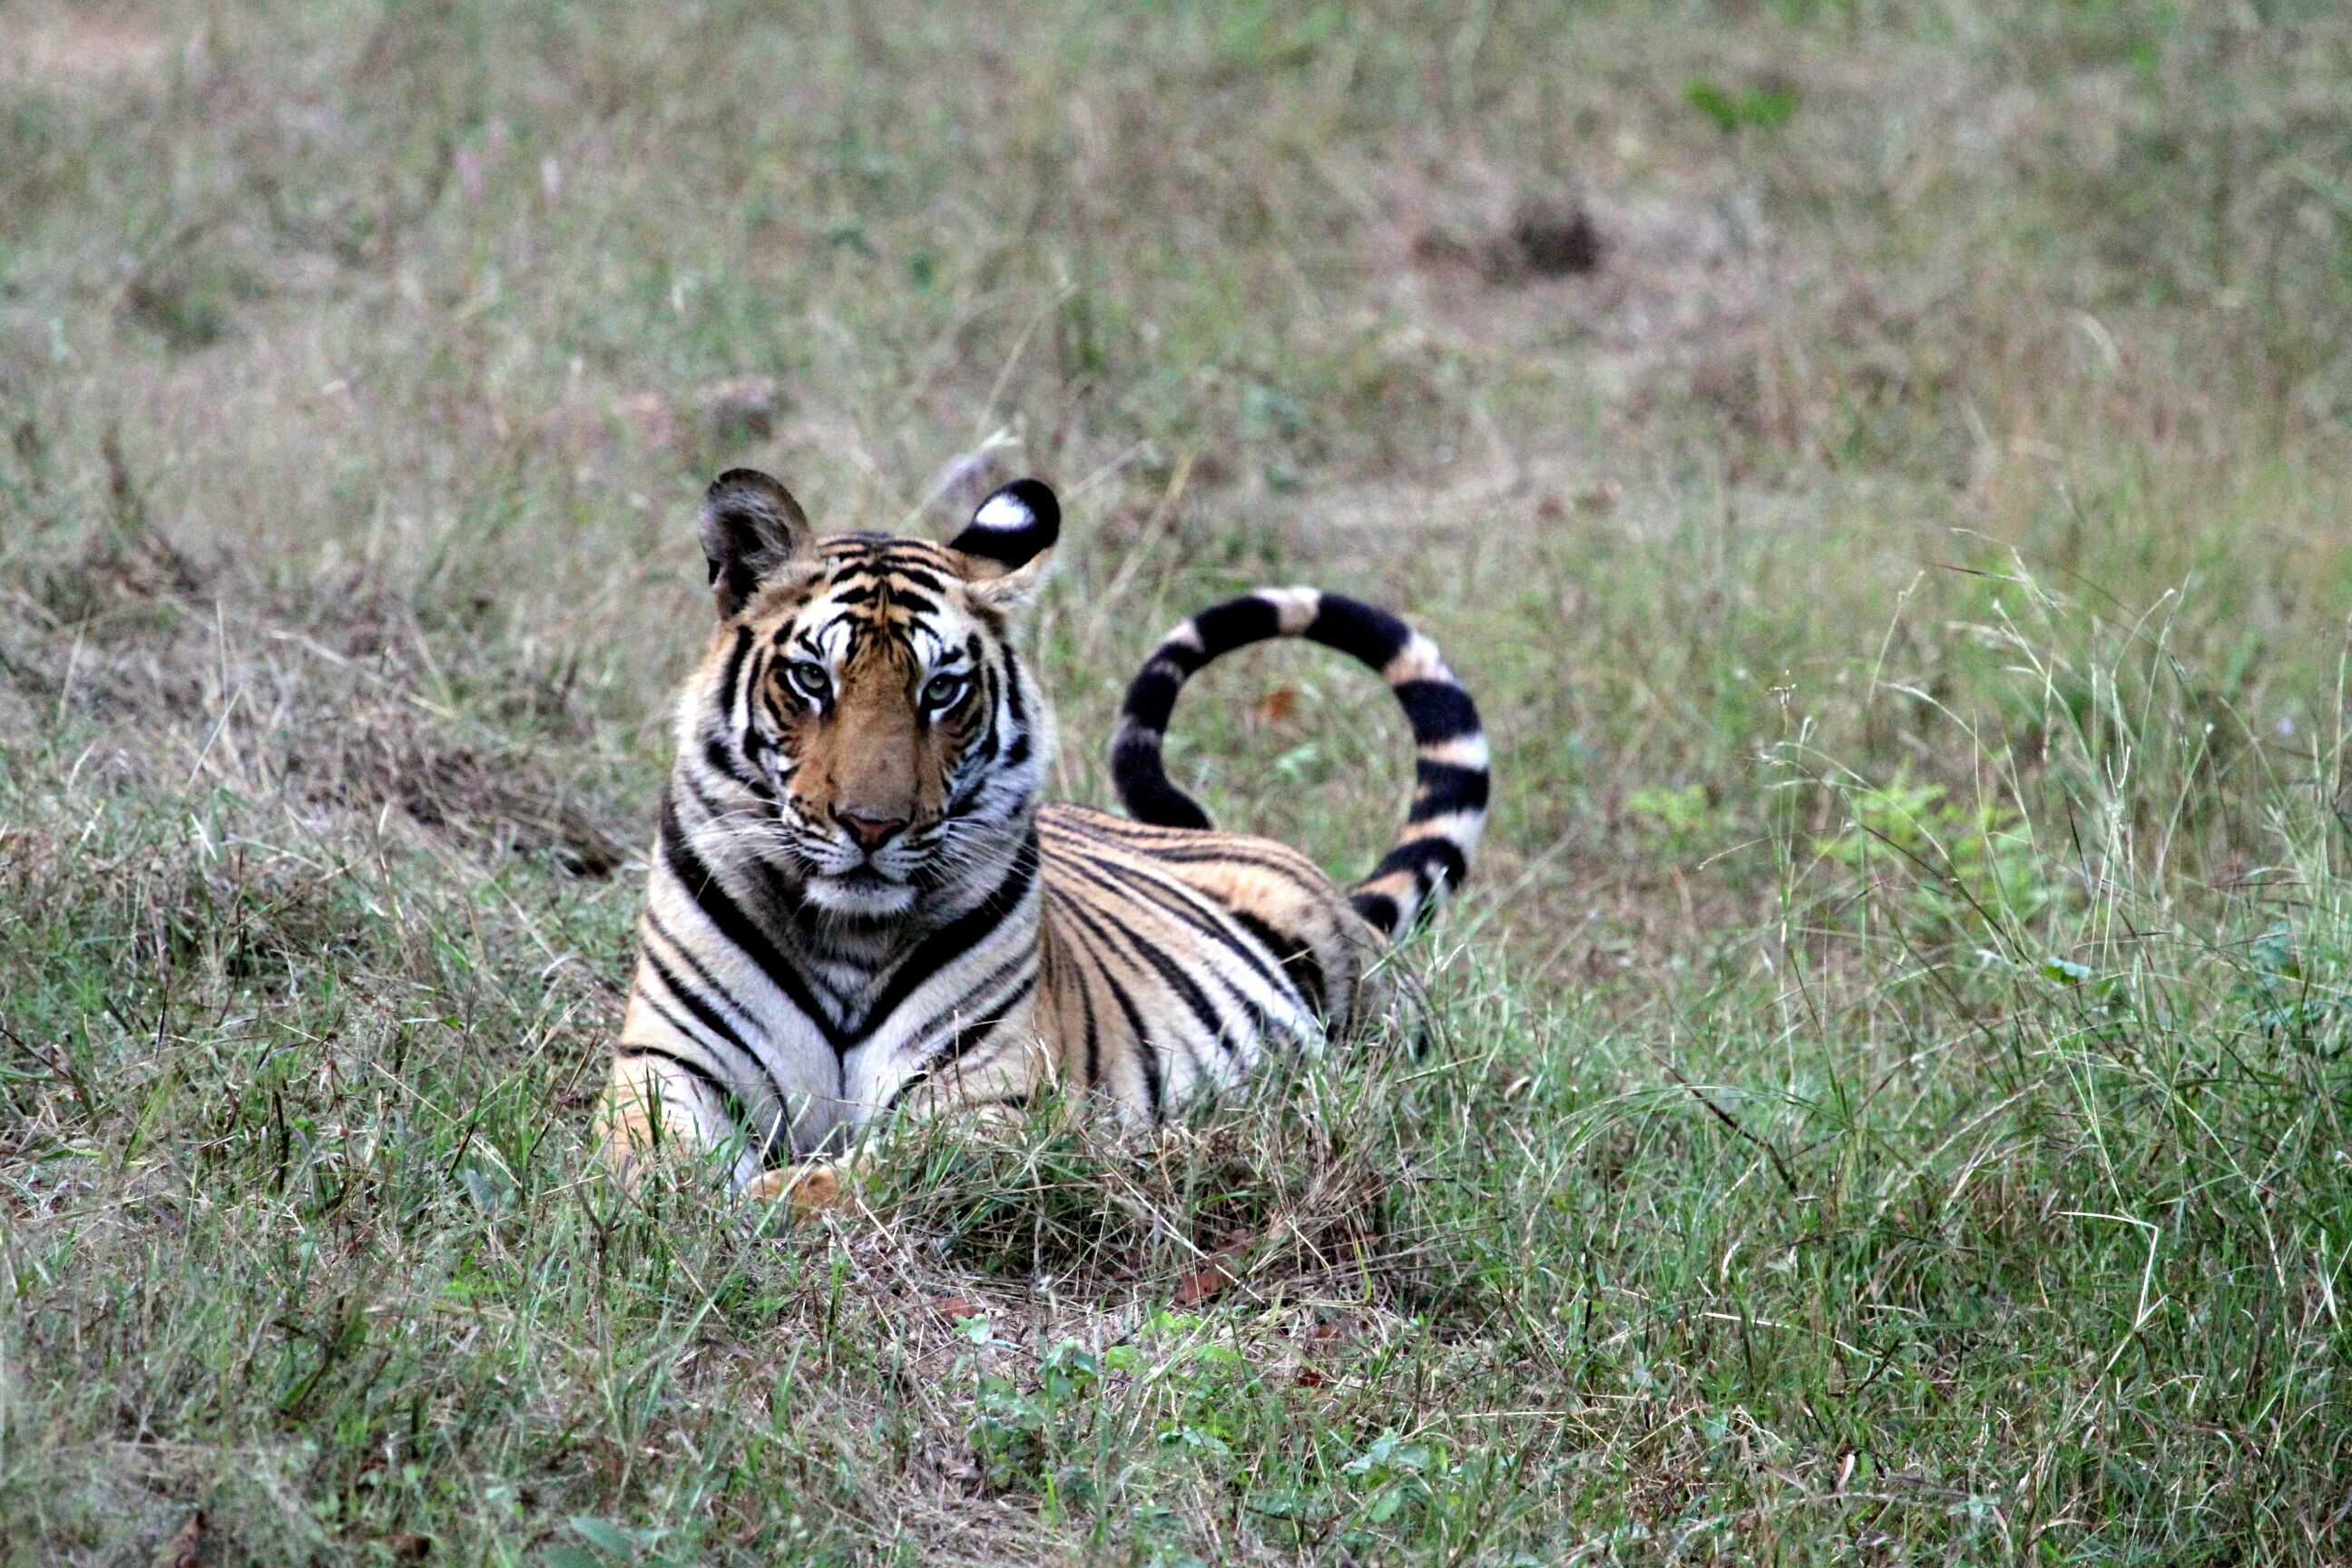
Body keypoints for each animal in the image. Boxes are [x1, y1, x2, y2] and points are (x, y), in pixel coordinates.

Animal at [596, 467, 1489, 1207]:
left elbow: (857, 1177)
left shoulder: (989, 1096)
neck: (846, 934)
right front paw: (690, 1203)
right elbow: (658, 1158)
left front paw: (765, 1199)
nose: (872, 825)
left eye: (942, 690)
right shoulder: (670, 1065)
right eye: (814, 679)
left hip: (1369, 1007)